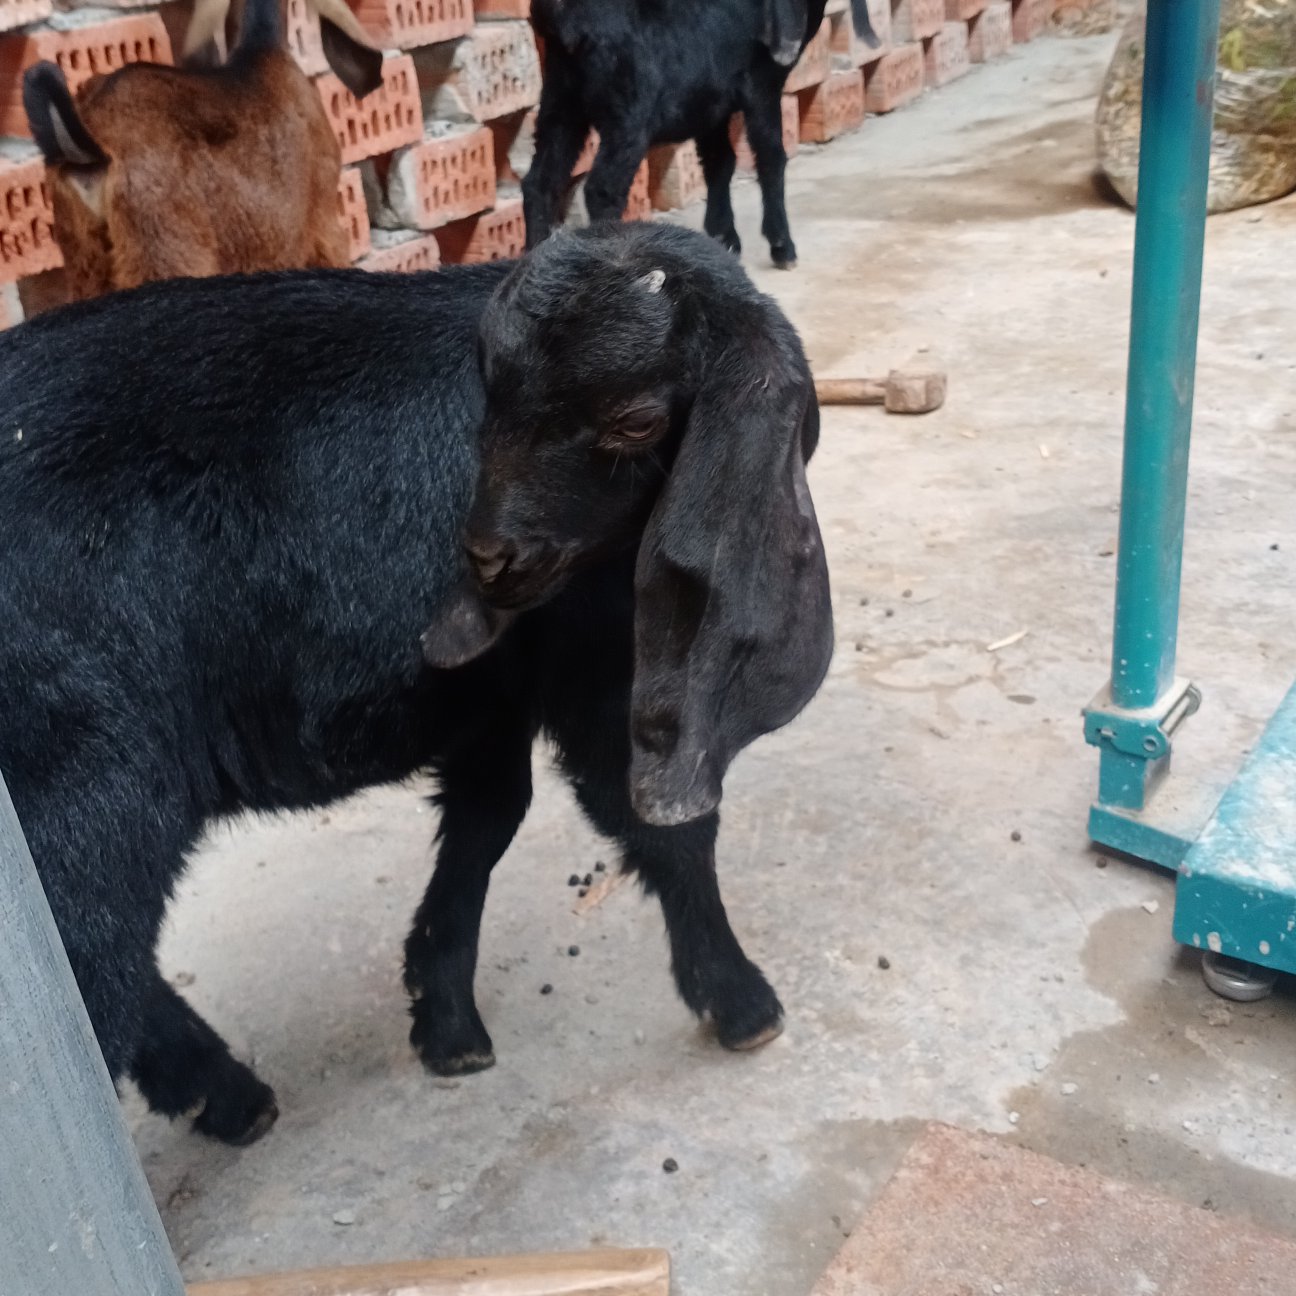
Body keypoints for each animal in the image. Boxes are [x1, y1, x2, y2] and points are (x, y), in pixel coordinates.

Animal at [0, 220, 829, 1145]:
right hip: (81, 784)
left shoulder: (491, 695)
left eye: (636, 420)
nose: (492, 558)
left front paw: (445, 1019)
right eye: (489, 397)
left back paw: (228, 1095)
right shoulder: (599, 668)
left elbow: (485, 820)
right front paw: (741, 1000)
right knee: (93, 967)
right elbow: (659, 829)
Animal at [520, 0, 876, 265]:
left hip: (559, 104)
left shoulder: (711, 103)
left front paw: (724, 238)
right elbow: (771, 156)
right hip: (628, 113)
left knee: (540, 183)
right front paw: (782, 246)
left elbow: (720, 162)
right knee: (602, 189)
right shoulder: (760, 87)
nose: (785, 46)